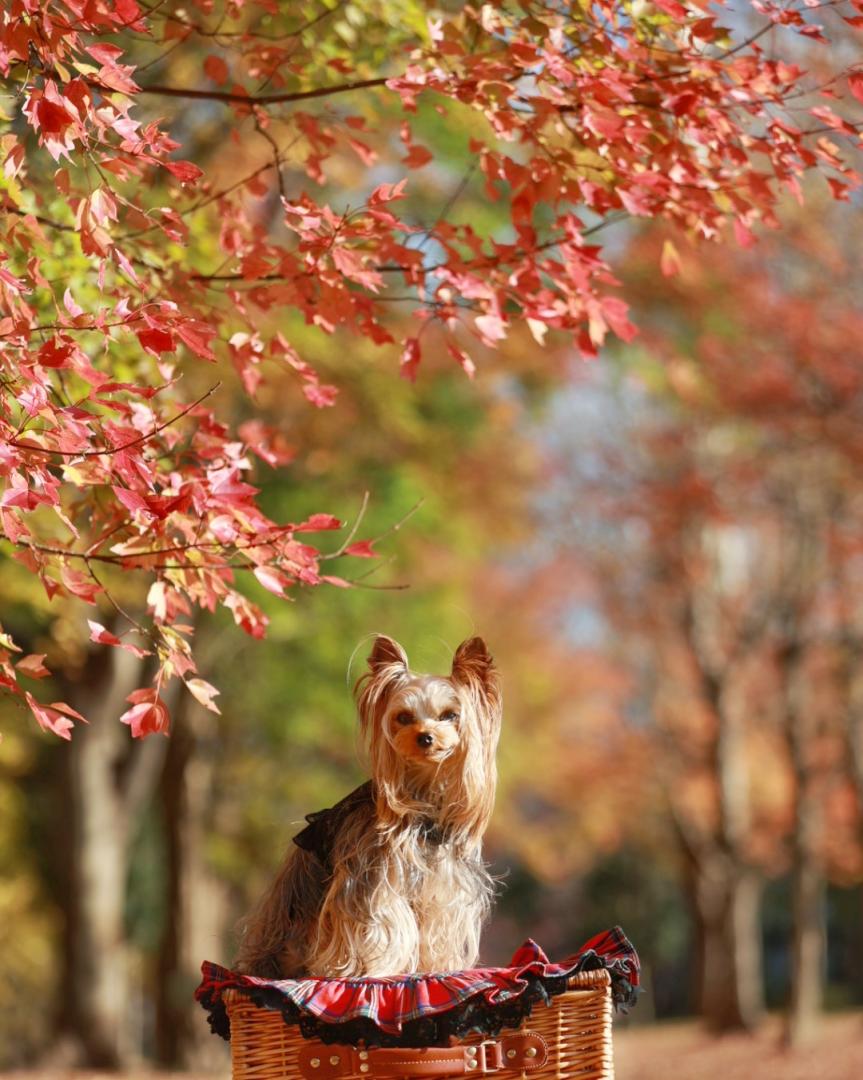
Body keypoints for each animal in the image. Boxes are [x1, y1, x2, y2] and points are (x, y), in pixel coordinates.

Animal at [233, 635, 503, 984]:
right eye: (403, 717)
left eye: (449, 716)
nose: (425, 737)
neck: (423, 796)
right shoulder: (370, 878)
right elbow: (386, 921)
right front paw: (376, 968)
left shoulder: (443, 886)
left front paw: (435, 966)